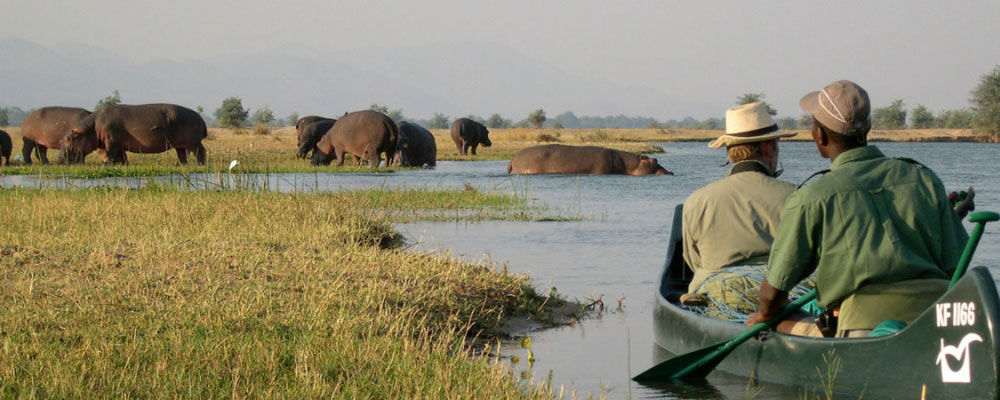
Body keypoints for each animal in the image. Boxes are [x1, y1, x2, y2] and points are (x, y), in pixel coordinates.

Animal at [61, 104, 209, 166]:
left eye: (68, 138)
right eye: (64, 138)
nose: (58, 159)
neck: (91, 128)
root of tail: (199, 117)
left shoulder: (110, 141)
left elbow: (110, 153)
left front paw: (107, 164)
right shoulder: (118, 144)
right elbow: (121, 156)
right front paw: (122, 165)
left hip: (193, 142)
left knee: (200, 151)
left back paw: (200, 164)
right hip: (180, 144)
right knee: (182, 155)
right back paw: (179, 165)